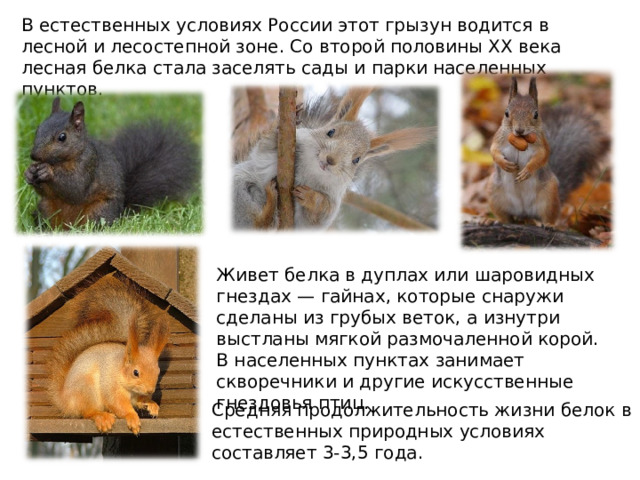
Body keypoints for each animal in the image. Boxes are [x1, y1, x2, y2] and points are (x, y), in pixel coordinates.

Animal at [25, 97, 198, 229]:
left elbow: (75, 188)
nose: (34, 155)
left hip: (99, 212)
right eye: (38, 129)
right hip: (46, 208)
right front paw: (29, 172)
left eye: (62, 137)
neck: (61, 161)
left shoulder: (89, 164)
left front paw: (47, 171)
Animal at [47, 276, 170, 435]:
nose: (150, 390)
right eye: (135, 372)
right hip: (86, 388)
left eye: (158, 371)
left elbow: (139, 401)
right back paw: (102, 417)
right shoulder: (111, 386)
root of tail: (65, 400)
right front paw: (132, 417)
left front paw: (151, 404)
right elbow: (118, 404)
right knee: (87, 412)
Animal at [233, 88, 435, 229]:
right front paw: (282, 125)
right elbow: (263, 150)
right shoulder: (269, 157)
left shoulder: (333, 199)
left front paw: (312, 197)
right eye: (330, 132)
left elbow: (320, 213)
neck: (313, 171)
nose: (330, 160)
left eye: (356, 160)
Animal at [488, 76, 608, 225]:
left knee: (548, 216)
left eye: (536, 114)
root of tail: (524, 212)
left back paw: (548, 224)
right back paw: (495, 221)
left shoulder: (542, 144)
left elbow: (541, 157)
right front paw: (504, 164)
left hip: (549, 196)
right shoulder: (498, 139)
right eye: (506, 113)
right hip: (495, 193)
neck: (521, 140)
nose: (519, 130)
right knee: (505, 216)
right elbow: (493, 151)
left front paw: (527, 171)